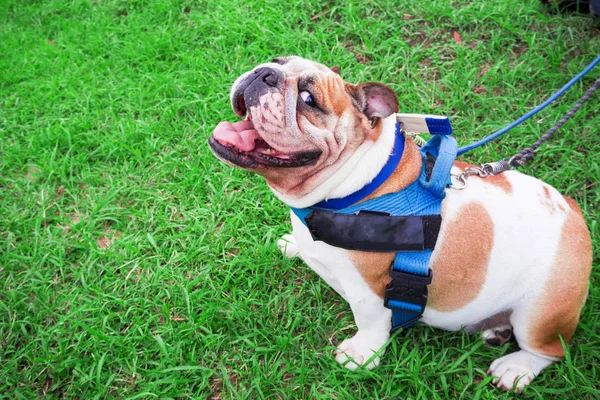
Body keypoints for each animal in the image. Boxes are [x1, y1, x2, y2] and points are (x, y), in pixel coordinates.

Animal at [209, 56, 592, 390]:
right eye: (278, 61)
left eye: (308, 99)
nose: (264, 74)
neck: (358, 185)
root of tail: (575, 215)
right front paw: (293, 244)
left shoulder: (368, 290)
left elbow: (369, 322)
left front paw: (361, 355)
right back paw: (495, 331)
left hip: (540, 311)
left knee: (551, 350)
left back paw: (515, 368)